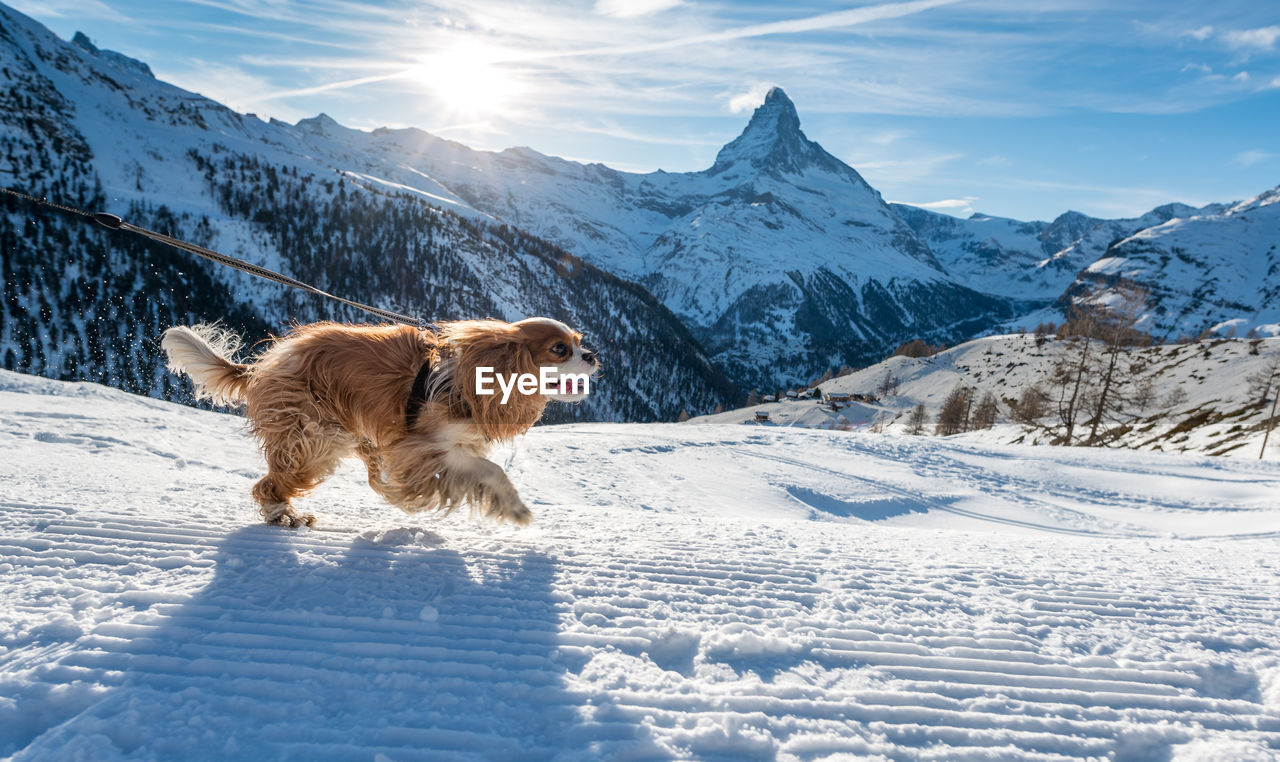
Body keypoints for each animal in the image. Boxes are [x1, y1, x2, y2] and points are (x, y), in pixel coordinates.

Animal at [161, 318, 599, 527]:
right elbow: (493, 472)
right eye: (559, 350)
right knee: (269, 485)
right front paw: (519, 511)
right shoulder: (421, 448)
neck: (474, 375)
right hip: (314, 435)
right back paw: (282, 516)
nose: (592, 355)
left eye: (579, 342)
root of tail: (262, 366)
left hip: (357, 434)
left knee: (373, 478)